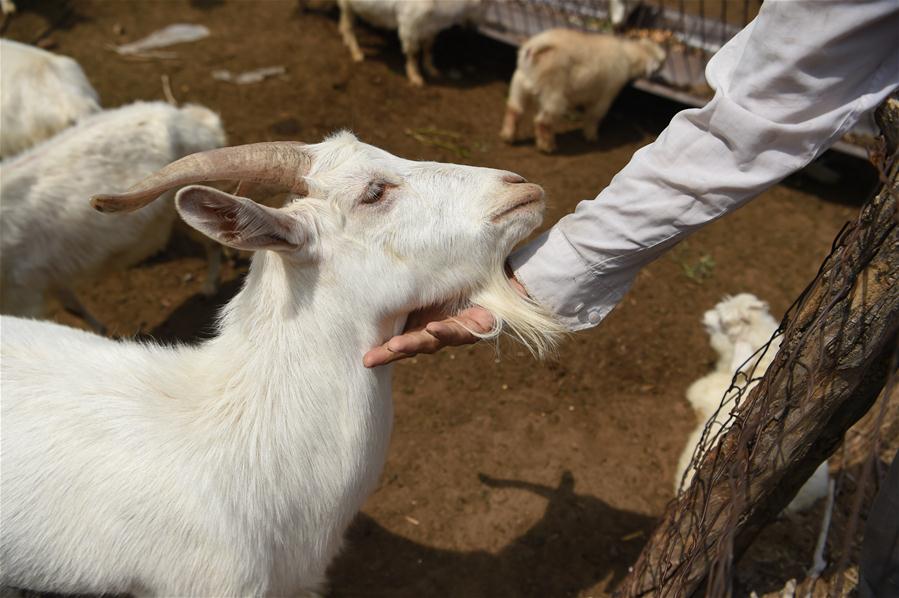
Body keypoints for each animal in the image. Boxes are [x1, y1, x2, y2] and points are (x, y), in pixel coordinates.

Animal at [0, 99, 229, 332]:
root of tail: (194, 120)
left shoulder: (24, 294)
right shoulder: (49, 278)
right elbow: (72, 306)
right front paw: (101, 330)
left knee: (213, 244)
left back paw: (209, 286)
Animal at [332, 0, 486, 87]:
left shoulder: (431, 28)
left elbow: (429, 47)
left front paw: (431, 69)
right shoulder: (409, 23)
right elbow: (414, 52)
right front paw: (415, 77)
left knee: (344, 23)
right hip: (348, 5)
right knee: (348, 26)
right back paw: (356, 53)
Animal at [500, 29, 668, 154]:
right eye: (660, 62)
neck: (627, 55)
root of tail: (535, 46)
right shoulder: (607, 93)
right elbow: (595, 115)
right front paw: (591, 136)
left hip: (519, 83)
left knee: (514, 109)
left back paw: (508, 136)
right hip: (553, 92)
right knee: (543, 121)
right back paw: (547, 146)